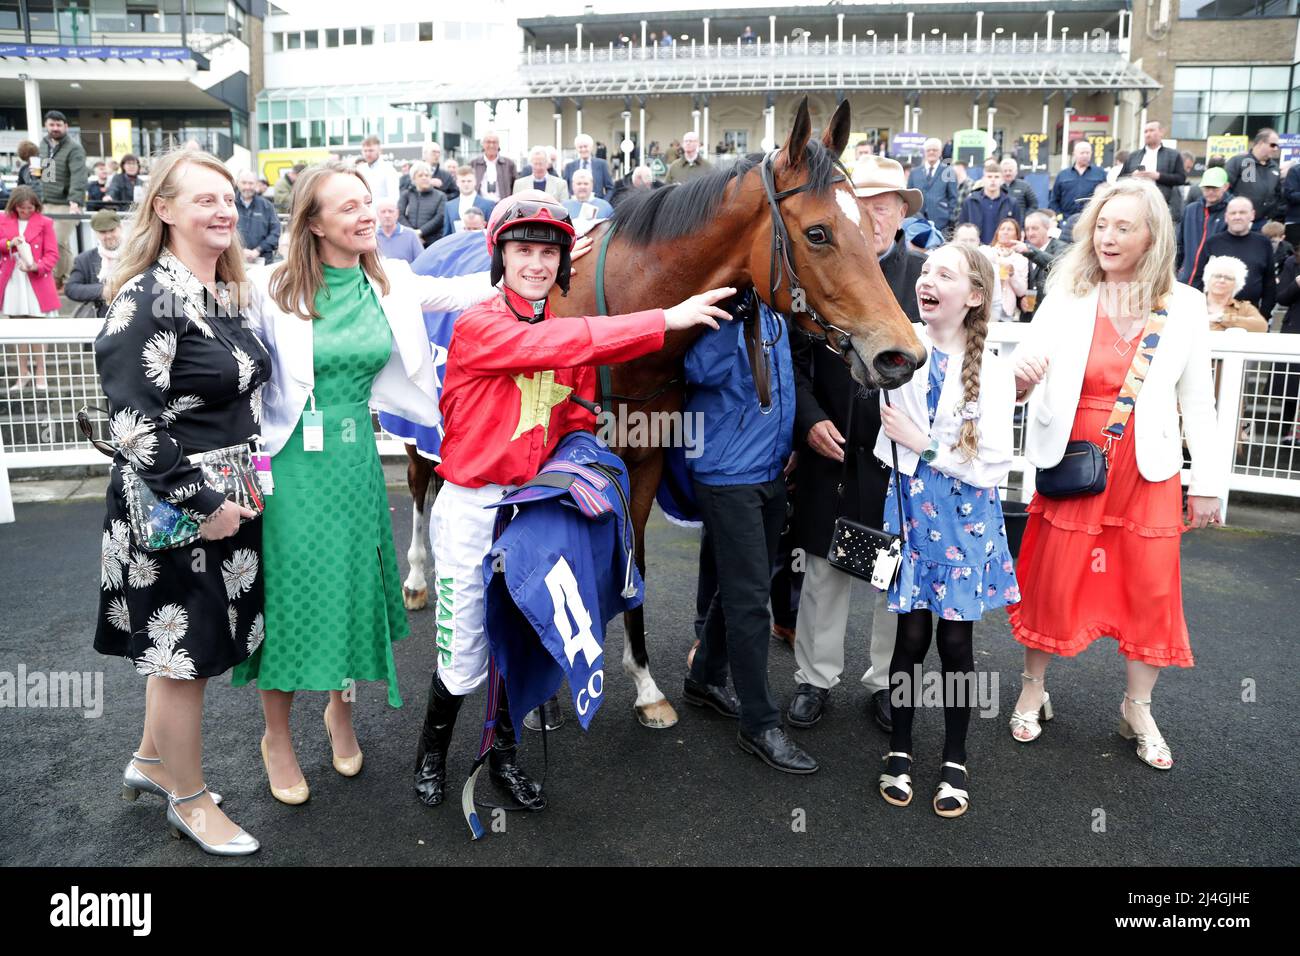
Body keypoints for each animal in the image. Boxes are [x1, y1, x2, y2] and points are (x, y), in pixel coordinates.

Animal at [400, 95, 920, 723]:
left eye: (868, 225)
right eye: (818, 233)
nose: (901, 354)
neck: (619, 314)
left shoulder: (644, 464)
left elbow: (636, 566)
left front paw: (647, 688)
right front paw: (539, 700)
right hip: (417, 434)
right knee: (421, 489)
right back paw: (416, 579)